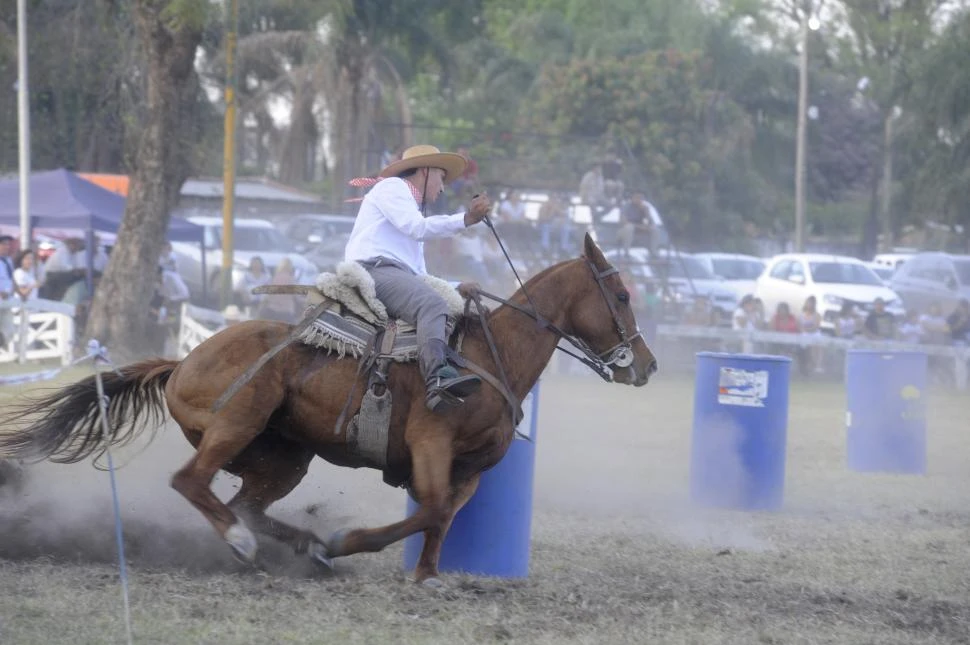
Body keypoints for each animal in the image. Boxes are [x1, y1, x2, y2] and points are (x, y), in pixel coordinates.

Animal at [1, 233, 656, 584]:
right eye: (622, 294)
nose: (646, 365)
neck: (486, 358)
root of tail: (183, 361)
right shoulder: (431, 447)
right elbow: (428, 510)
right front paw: (346, 543)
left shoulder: (471, 468)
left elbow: (441, 517)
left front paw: (426, 575)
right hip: (238, 421)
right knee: (192, 483)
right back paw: (248, 545)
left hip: (284, 457)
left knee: (244, 502)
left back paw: (299, 547)